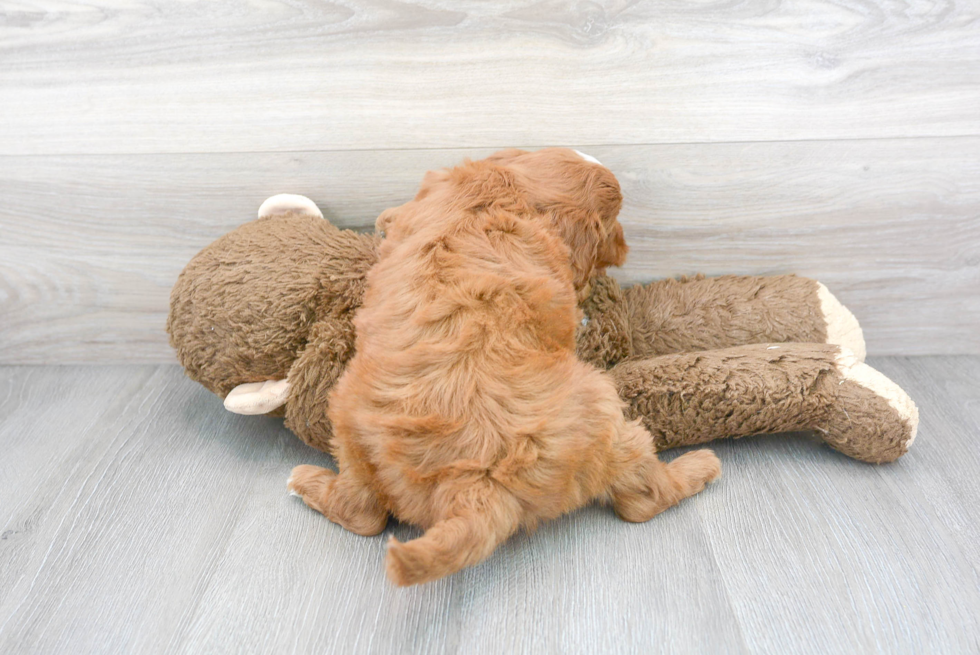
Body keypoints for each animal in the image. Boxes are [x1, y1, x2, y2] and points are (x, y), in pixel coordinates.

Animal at [284, 147, 720, 584]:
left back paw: (307, 483)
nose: (626, 247)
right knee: (642, 499)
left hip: (347, 423)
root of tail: (476, 478)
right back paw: (700, 467)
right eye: (612, 222)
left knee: (363, 513)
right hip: (607, 414)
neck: (511, 188)